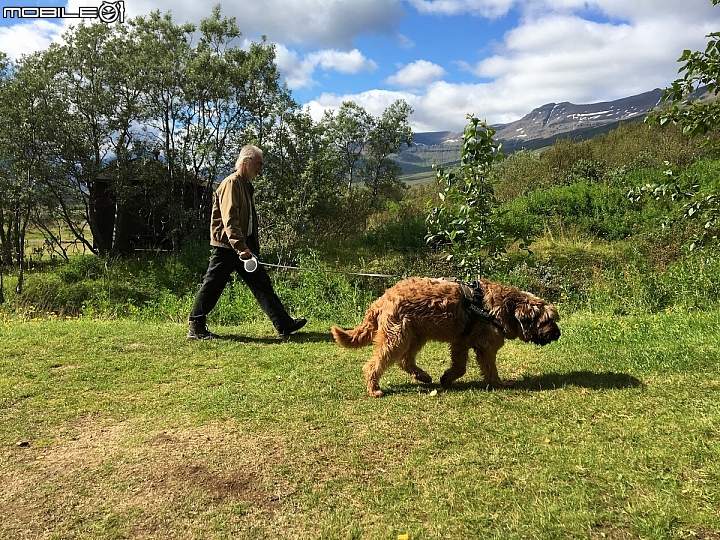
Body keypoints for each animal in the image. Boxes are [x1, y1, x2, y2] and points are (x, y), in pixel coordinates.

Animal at [332, 278, 564, 396]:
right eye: (547, 320)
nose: (558, 334)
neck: (507, 307)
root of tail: (382, 299)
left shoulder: (461, 342)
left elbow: (460, 366)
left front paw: (447, 377)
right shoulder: (486, 345)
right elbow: (490, 368)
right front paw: (499, 383)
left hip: (415, 335)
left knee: (405, 360)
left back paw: (423, 376)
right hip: (396, 336)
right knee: (375, 364)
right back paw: (374, 388)